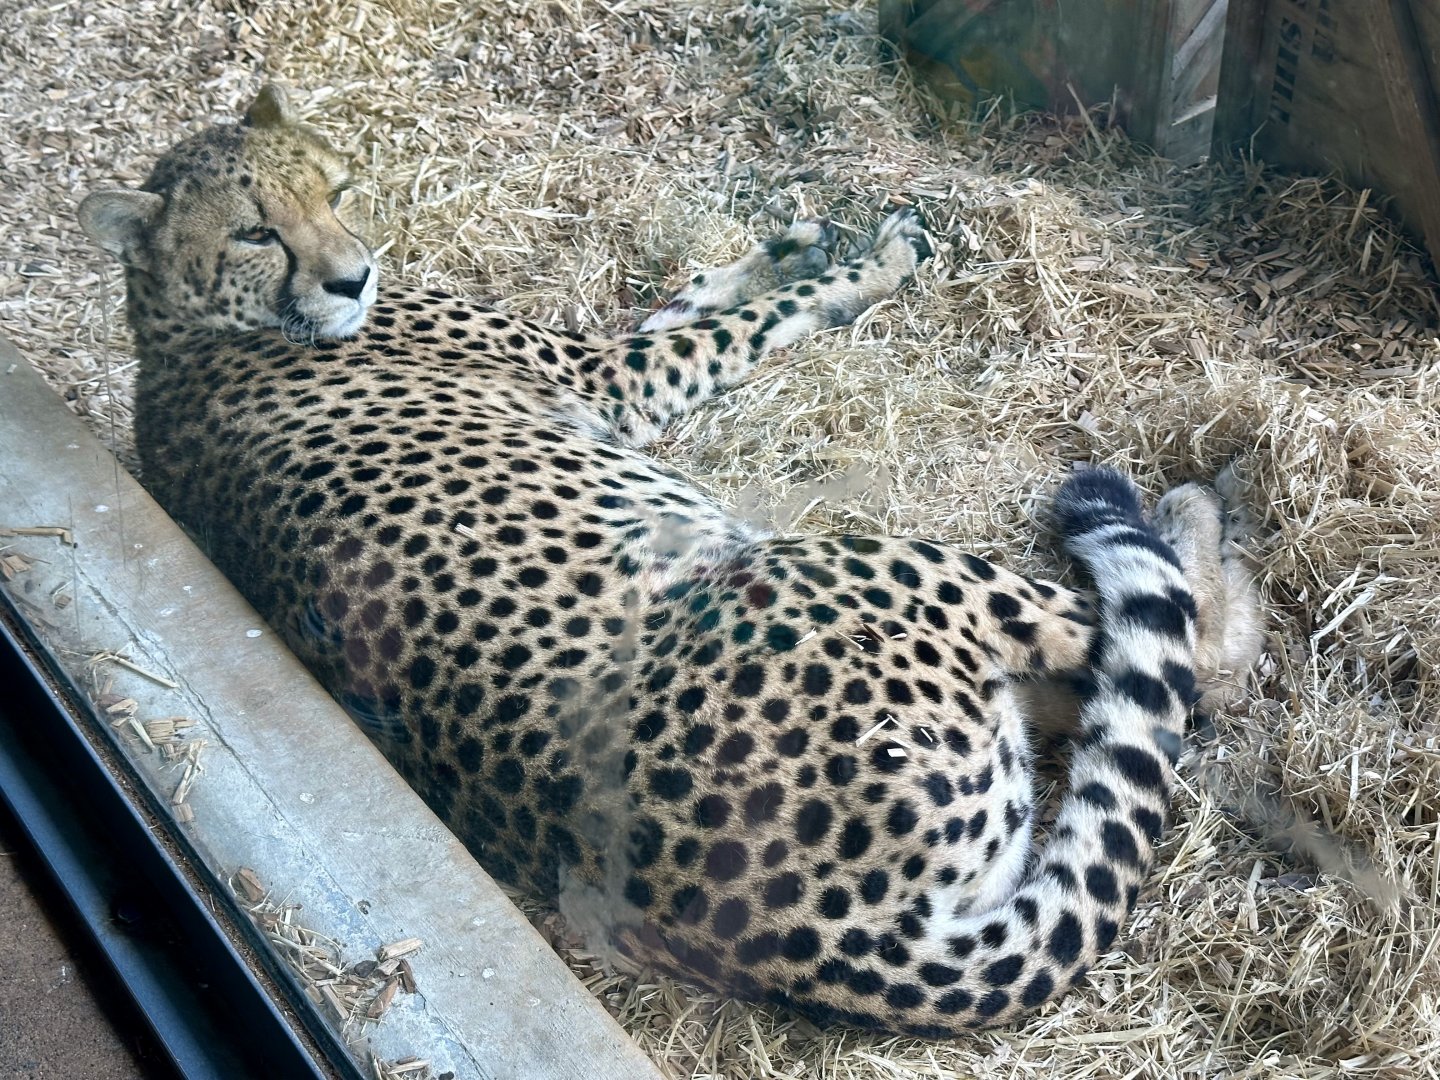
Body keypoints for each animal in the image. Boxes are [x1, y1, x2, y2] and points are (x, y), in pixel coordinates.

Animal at [79, 85, 1261, 1037]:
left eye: (334, 188)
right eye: (252, 233)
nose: (352, 276)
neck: (172, 325)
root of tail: (826, 933)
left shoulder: (612, 357)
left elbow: (691, 300)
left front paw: (785, 246)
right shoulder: (610, 379)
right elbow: (754, 323)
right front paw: (870, 263)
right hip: (847, 568)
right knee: (1190, 662)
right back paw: (1191, 516)